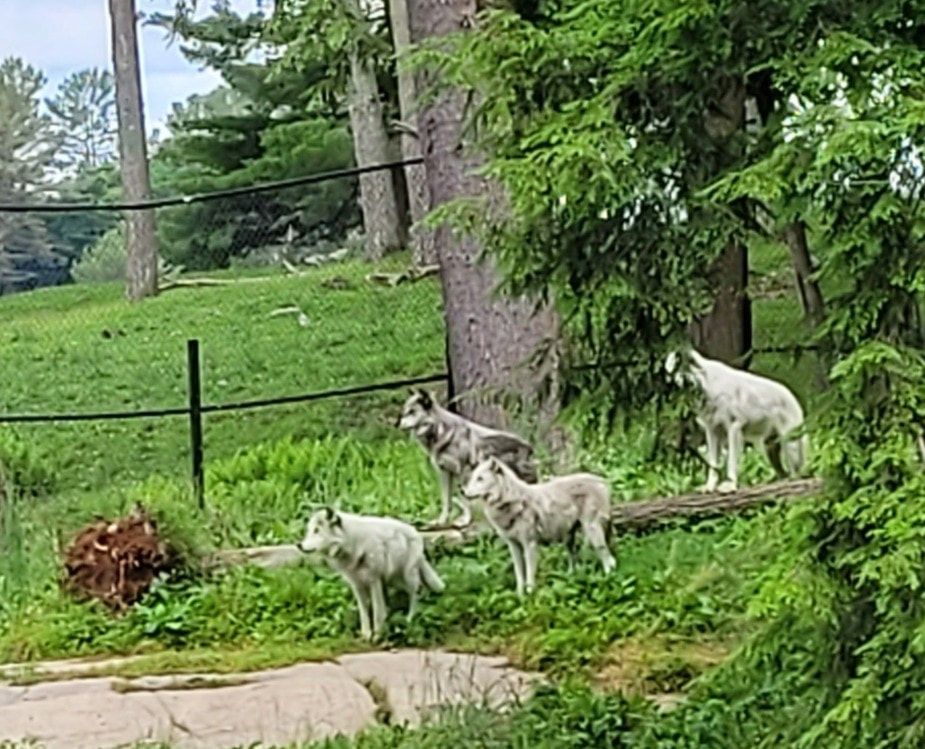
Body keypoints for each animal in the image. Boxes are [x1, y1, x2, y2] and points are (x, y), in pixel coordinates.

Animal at [298, 507, 444, 641]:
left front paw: (378, 635)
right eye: (309, 531)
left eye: (317, 530)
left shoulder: (374, 581)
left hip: (407, 577)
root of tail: (416, 531)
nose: (299, 545)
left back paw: (410, 619)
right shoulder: (357, 585)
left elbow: (377, 611)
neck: (352, 543)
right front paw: (366, 634)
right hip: (394, 580)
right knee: (421, 590)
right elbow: (364, 612)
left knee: (416, 593)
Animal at [397, 388, 538, 528]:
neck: (442, 432)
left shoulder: (462, 472)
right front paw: (441, 521)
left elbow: (464, 498)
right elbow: (446, 501)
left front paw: (464, 521)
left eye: (412, 412)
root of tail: (529, 446)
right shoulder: (445, 473)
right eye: (405, 411)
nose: (396, 424)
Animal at [462, 456, 616, 596]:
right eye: (473, 478)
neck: (510, 502)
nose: (463, 492)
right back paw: (570, 578)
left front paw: (530, 597)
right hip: (569, 538)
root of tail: (603, 481)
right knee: (575, 561)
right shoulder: (514, 546)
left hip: (592, 532)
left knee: (608, 558)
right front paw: (520, 597)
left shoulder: (530, 545)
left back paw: (607, 580)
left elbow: (529, 575)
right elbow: (519, 575)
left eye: (480, 479)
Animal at [665, 347, 808, 493]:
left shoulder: (733, 428)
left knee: (797, 474)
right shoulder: (712, 432)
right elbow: (713, 464)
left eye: (684, 383)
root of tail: (795, 400)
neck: (710, 389)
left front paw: (729, 486)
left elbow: (731, 462)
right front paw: (710, 487)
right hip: (769, 449)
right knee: (783, 473)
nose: (671, 403)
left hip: (790, 447)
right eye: (673, 383)